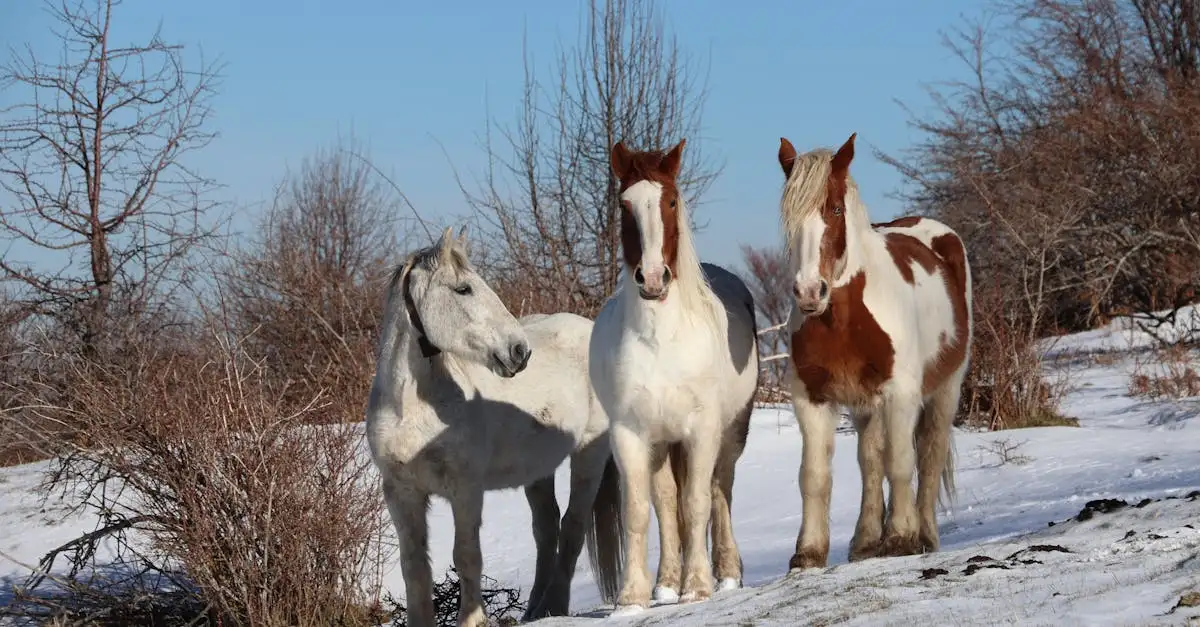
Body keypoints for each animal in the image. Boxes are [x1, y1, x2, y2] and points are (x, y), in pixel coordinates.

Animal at [365, 228, 624, 627]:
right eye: (463, 289)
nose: (519, 351)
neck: (412, 410)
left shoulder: (466, 489)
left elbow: (466, 555)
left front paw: (472, 620)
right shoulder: (401, 493)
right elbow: (415, 567)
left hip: (590, 455)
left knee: (573, 527)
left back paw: (554, 605)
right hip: (538, 470)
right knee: (546, 529)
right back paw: (535, 610)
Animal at [588, 139, 759, 613]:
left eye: (669, 200)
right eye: (624, 204)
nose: (652, 278)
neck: (660, 341)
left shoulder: (701, 430)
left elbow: (698, 503)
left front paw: (698, 586)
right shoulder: (631, 434)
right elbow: (641, 510)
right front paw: (633, 596)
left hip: (729, 434)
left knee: (719, 492)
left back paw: (727, 574)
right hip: (663, 443)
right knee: (667, 504)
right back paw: (666, 583)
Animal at [774, 133, 973, 571]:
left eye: (834, 208)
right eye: (787, 216)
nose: (809, 292)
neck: (844, 320)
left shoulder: (901, 394)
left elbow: (901, 463)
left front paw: (901, 537)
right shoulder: (811, 399)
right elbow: (815, 476)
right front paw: (808, 552)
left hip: (945, 390)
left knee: (929, 455)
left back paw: (924, 533)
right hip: (866, 406)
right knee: (869, 462)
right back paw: (865, 542)